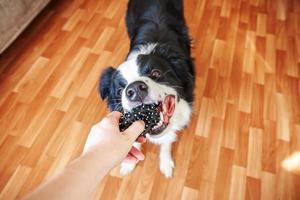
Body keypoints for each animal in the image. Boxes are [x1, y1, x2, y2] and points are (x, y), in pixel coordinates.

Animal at [99, 0, 195, 178]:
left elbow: (167, 139)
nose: (135, 90)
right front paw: (128, 164)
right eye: (120, 90)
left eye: (156, 72)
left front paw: (166, 163)